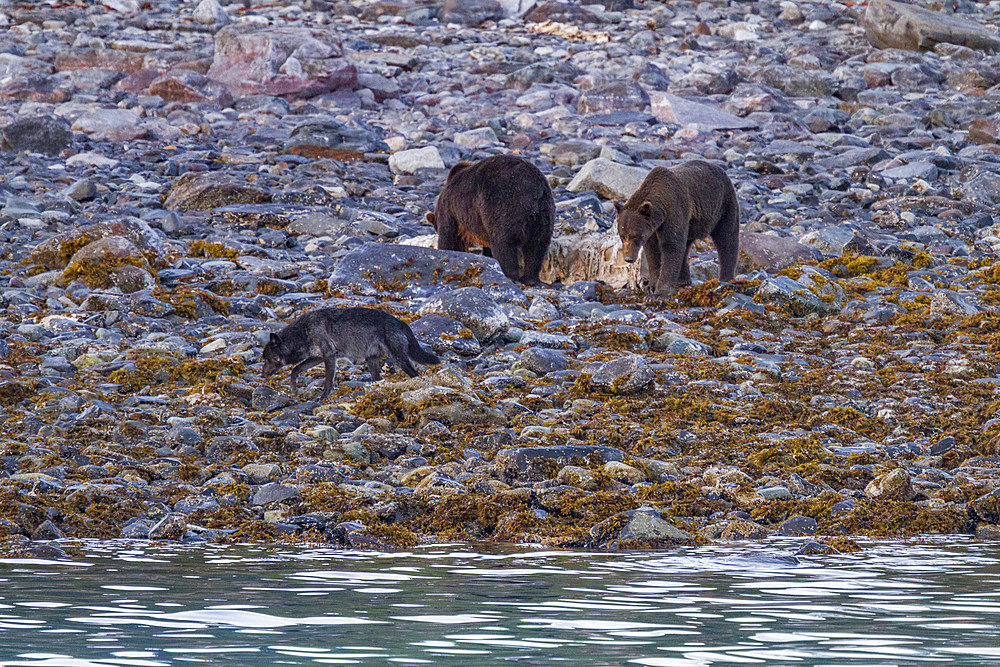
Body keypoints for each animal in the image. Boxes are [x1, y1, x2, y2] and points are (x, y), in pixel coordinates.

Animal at [260, 306, 440, 400]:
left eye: (267, 359)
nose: (262, 375)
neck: (302, 333)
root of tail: (399, 321)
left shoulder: (329, 356)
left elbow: (328, 381)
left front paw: (323, 398)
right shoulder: (316, 357)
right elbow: (295, 369)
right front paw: (294, 388)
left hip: (399, 359)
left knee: (415, 374)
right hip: (372, 361)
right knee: (379, 380)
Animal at [424, 155, 556, 286]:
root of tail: (534, 187)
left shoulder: (451, 210)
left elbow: (449, 237)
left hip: (503, 205)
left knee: (503, 242)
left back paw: (509, 274)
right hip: (543, 215)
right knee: (537, 246)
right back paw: (530, 278)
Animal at [612, 159, 740, 294]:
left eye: (636, 236)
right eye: (622, 236)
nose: (628, 258)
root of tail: (721, 170)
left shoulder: (675, 210)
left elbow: (671, 245)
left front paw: (660, 291)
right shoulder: (652, 227)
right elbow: (652, 251)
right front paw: (651, 286)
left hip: (724, 204)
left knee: (727, 237)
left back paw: (727, 278)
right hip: (693, 223)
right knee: (686, 245)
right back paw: (683, 280)